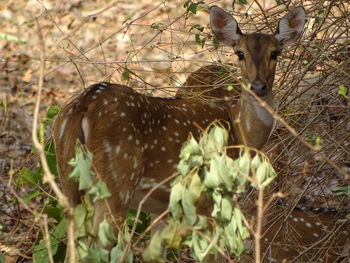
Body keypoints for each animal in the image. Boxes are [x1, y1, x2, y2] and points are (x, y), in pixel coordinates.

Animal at [51, 4, 350, 262]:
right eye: (239, 53)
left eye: (275, 53)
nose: (258, 86)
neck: (240, 132)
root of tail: (84, 105)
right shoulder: (211, 198)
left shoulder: (164, 209)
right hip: (116, 182)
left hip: (69, 183)